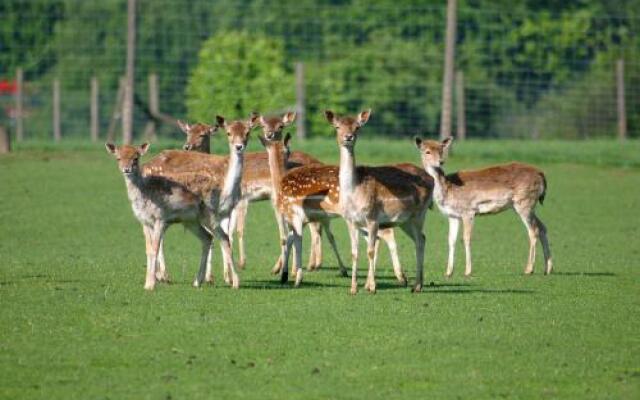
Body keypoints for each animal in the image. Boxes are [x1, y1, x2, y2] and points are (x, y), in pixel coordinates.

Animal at [262, 111, 416, 290]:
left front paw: (290, 275)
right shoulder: (316, 217)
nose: (270, 134)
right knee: (380, 236)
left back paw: (395, 278)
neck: (280, 181)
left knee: (385, 234)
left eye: (280, 125)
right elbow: (312, 238)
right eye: (264, 125)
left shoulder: (295, 214)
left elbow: (292, 240)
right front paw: (286, 273)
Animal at [412, 136, 552, 276]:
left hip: (524, 202)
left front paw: (467, 271)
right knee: (543, 227)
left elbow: (466, 238)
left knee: (533, 230)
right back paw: (548, 268)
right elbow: (451, 240)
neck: (448, 190)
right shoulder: (453, 215)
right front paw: (448, 272)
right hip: (528, 205)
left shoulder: (468, 211)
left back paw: (529, 269)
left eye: (441, 150)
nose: (440, 162)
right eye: (427, 151)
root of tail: (541, 175)